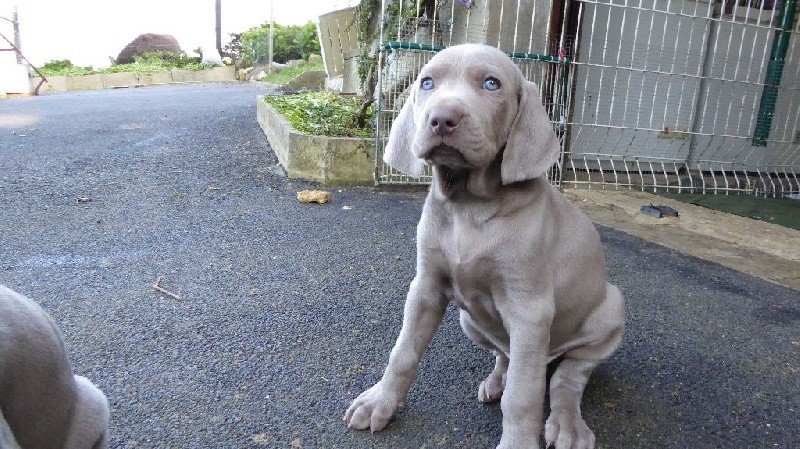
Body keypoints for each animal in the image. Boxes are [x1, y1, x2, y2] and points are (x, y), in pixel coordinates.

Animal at [344, 43, 624, 448]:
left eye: (492, 84)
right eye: (427, 82)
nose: (441, 119)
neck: (469, 206)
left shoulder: (529, 310)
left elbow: (524, 395)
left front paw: (518, 443)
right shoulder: (425, 288)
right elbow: (403, 351)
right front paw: (380, 401)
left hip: (610, 311)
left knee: (566, 377)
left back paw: (568, 424)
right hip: (470, 320)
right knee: (506, 357)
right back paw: (496, 381)